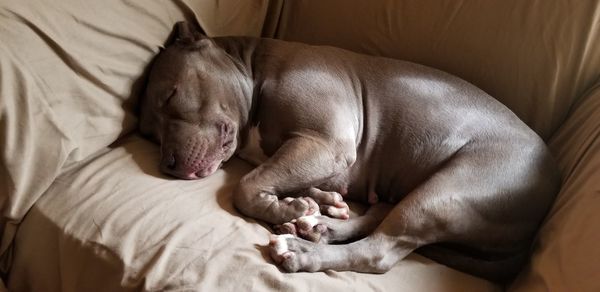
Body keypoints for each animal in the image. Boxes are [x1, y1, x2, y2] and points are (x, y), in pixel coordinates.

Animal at [138, 21, 560, 282]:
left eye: (172, 95)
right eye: (148, 133)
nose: (169, 164)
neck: (254, 69)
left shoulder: (325, 143)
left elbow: (246, 185)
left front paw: (285, 208)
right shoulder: (313, 155)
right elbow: (275, 178)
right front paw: (312, 202)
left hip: (445, 192)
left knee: (379, 250)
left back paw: (301, 249)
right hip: (425, 191)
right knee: (378, 216)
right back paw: (319, 226)